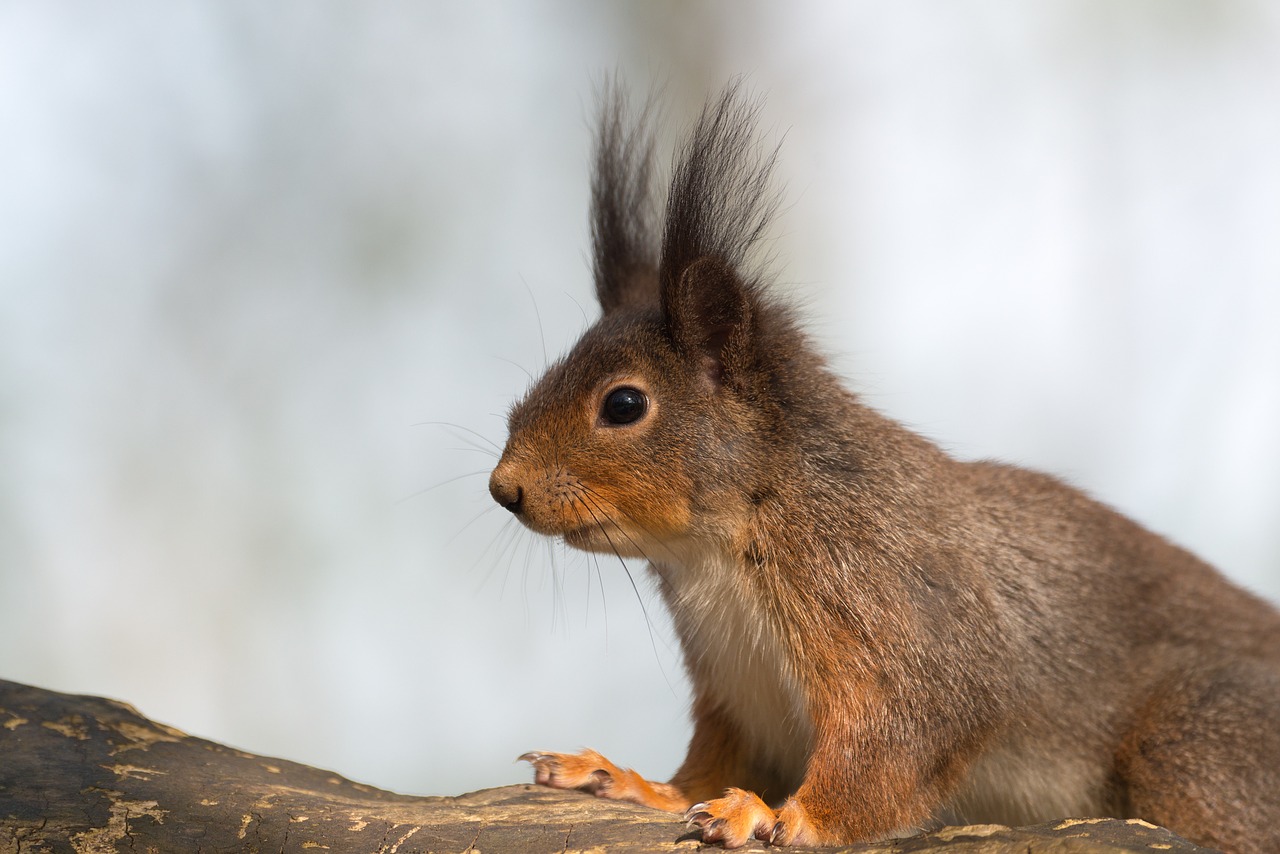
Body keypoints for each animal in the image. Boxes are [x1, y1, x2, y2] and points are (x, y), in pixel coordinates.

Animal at [486, 83, 1280, 850]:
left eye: (623, 404)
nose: (504, 489)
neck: (717, 544)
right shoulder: (736, 688)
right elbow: (710, 765)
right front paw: (631, 781)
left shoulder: (893, 603)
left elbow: (902, 739)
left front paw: (779, 818)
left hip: (1196, 741)